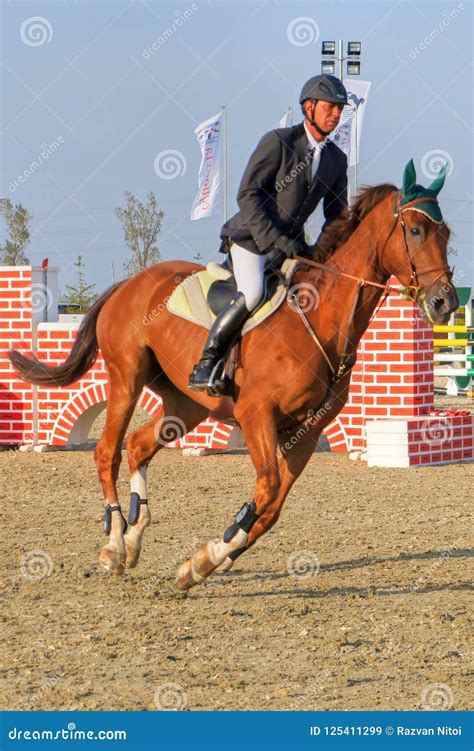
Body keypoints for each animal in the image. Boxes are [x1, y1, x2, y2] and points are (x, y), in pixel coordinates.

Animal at [8, 162, 460, 592]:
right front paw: (206, 559)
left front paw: (205, 562)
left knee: (138, 446)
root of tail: (128, 284)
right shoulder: (256, 413)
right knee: (108, 452)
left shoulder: (307, 431)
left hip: (185, 404)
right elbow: (267, 489)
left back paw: (136, 538)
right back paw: (115, 545)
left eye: (446, 232)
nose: (445, 303)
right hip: (126, 379)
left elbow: (271, 507)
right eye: (415, 230)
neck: (318, 319)